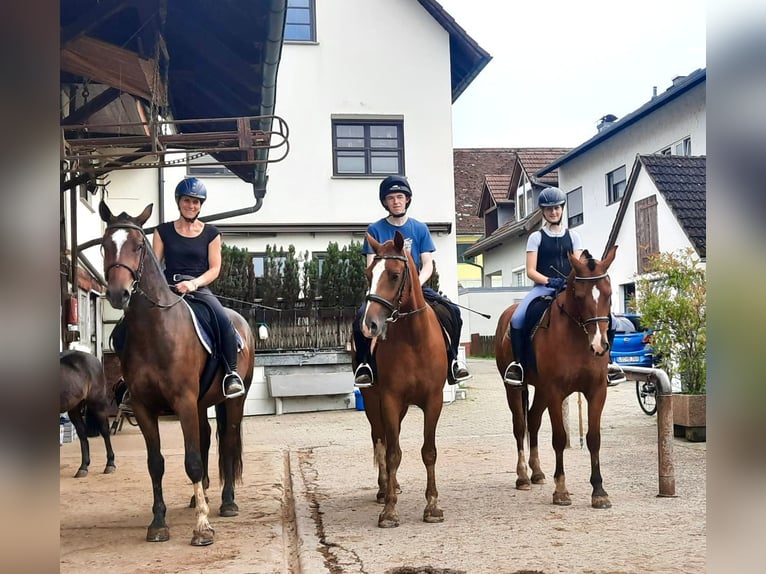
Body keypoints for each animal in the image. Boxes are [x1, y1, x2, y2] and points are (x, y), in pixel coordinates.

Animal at [59, 352, 116, 482]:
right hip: (74, 408)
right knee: (82, 434)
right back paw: (83, 467)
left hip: (97, 404)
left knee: (105, 431)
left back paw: (110, 464)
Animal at [97, 202, 255, 548]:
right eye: (104, 245)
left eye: (138, 245)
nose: (118, 293)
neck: (155, 331)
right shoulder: (144, 407)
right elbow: (156, 464)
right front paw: (158, 523)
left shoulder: (183, 401)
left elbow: (192, 460)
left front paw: (203, 528)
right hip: (201, 403)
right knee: (207, 438)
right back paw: (200, 497)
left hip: (232, 401)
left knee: (228, 442)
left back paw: (227, 502)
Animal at [354, 232, 450, 528]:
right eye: (368, 273)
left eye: (395, 275)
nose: (369, 325)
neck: (414, 339)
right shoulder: (389, 400)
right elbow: (392, 453)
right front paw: (389, 510)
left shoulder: (433, 401)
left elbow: (429, 451)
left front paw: (432, 506)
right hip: (373, 404)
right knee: (380, 440)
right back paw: (384, 488)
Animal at [496, 246, 620, 508]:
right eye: (580, 296)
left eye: (609, 294)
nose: (599, 346)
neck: (577, 336)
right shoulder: (555, 392)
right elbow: (559, 438)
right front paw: (561, 490)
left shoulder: (597, 391)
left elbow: (594, 438)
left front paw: (599, 491)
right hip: (514, 388)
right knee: (520, 426)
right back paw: (523, 476)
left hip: (541, 390)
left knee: (533, 420)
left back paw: (537, 472)